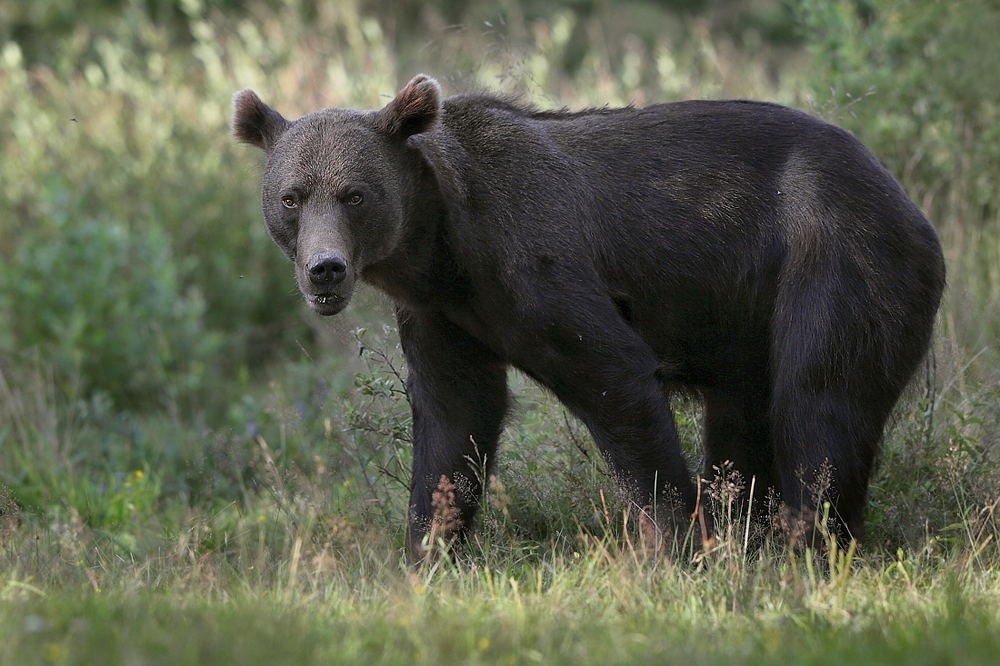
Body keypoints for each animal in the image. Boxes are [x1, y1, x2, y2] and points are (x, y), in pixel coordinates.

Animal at [232, 75, 944, 556]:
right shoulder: (444, 317)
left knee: (819, 399)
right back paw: (754, 535)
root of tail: (904, 195)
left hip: (836, 255)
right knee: (743, 423)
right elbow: (454, 419)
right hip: (748, 317)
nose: (325, 269)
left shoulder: (535, 260)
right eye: (292, 196)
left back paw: (810, 542)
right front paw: (427, 550)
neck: (441, 251)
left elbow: (612, 375)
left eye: (354, 194)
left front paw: (675, 540)